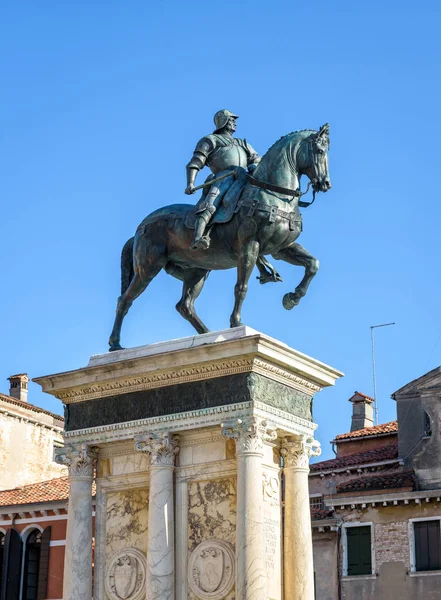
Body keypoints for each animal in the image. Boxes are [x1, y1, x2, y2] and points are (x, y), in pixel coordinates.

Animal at [109, 126, 330, 352]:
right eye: (320, 151)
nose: (325, 183)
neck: (273, 195)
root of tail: (140, 228)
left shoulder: (281, 248)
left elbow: (313, 265)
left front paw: (292, 298)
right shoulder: (250, 247)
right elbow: (241, 287)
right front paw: (236, 322)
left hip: (197, 272)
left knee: (184, 306)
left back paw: (207, 335)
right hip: (148, 268)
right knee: (124, 300)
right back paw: (115, 345)